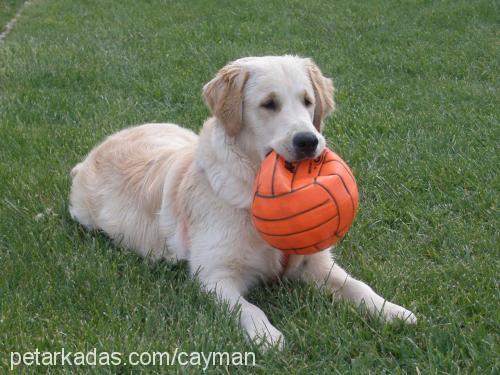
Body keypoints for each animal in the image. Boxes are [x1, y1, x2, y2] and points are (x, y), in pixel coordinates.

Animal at [68, 56, 416, 352]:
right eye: (269, 104)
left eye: (308, 101)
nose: (309, 141)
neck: (251, 187)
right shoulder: (214, 275)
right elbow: (248, 308)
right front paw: (266, 336)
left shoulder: (315, 262)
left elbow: (358, 286)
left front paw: (391, 311)